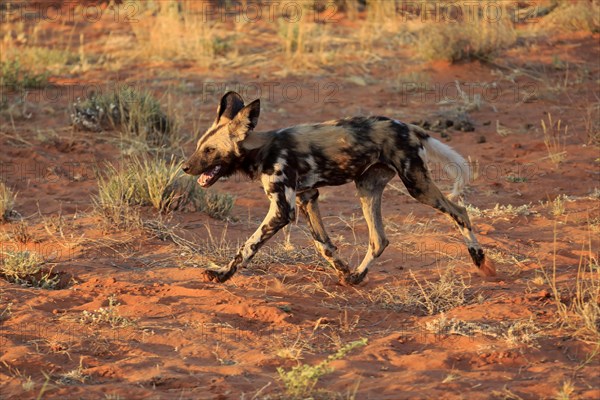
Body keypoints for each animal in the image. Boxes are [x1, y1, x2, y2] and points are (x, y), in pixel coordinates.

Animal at [183, 91, 496, 284]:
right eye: (199, 147)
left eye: (210, 150)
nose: (185, 168)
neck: (262, 150)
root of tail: (409, 127)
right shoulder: (308, 197)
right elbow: (324, 244)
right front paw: (343, 270)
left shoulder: (283, 210)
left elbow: (247, 246)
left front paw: (222, 274)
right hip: (367, 188)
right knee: (379, 240)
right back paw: (356, 276)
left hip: (417, 186)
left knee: (459, 211)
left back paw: (479, 259)